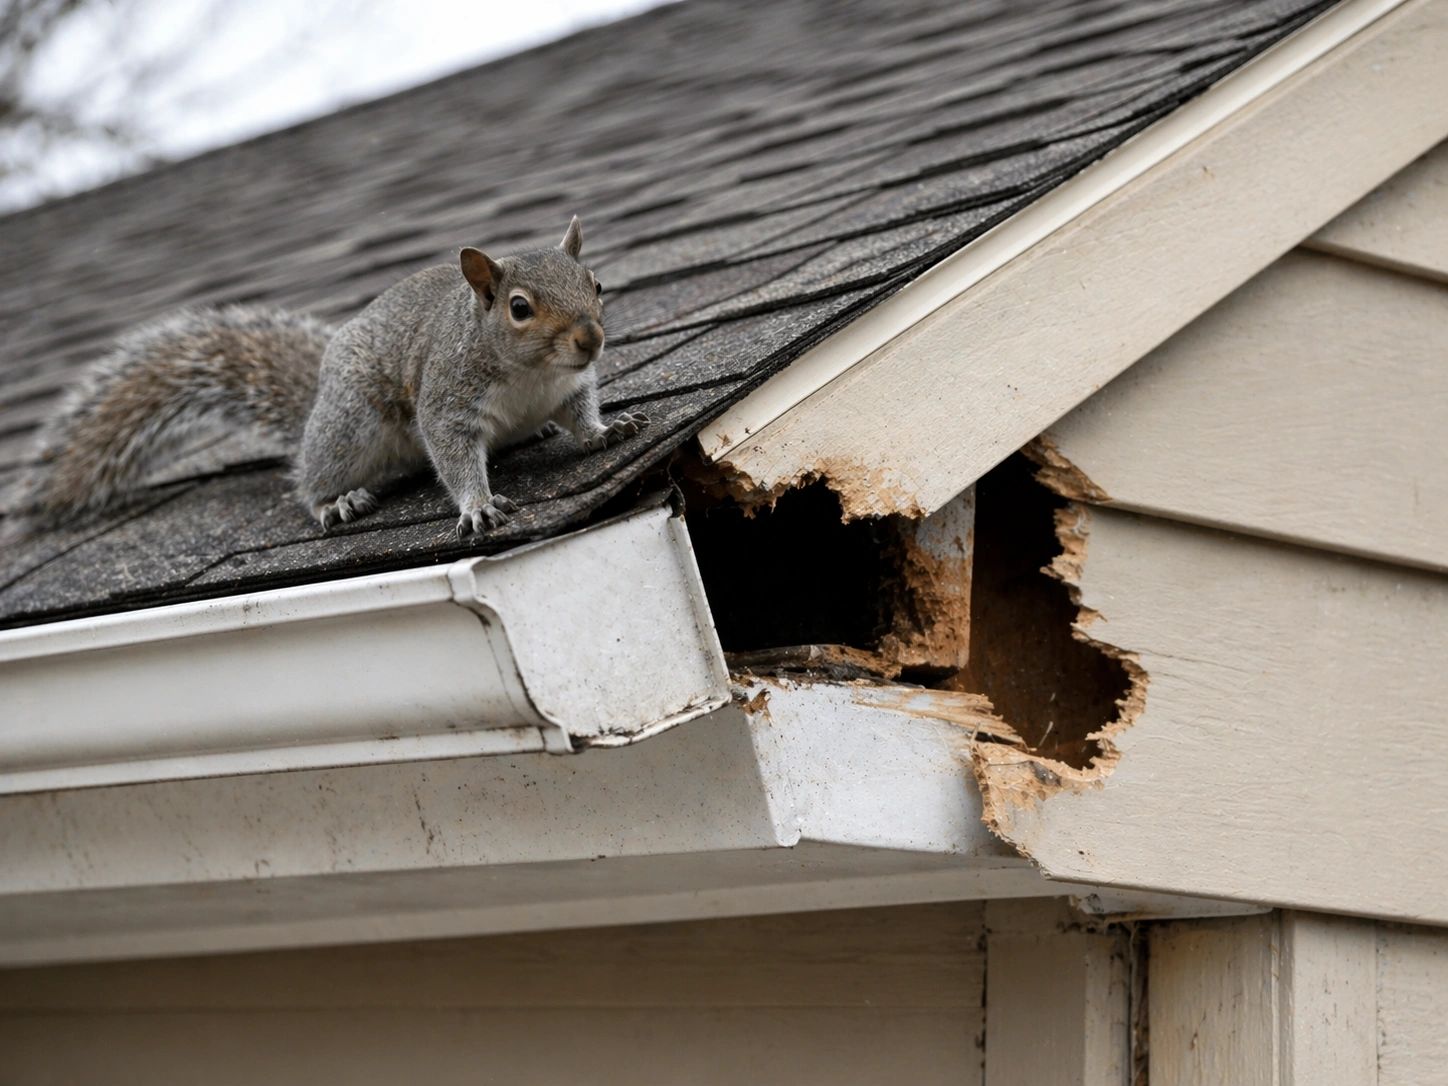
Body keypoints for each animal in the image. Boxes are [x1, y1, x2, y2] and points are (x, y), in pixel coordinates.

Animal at [12, 216, 648, 540]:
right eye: (519, 308)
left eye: (595, 284)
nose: (590, 339)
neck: (531, 376)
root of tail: (319, 395)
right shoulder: (447, 399)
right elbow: (452, 455)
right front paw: (477, 506)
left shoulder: (570, 386)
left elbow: (582, 414)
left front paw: (605, 432)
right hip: (351, 427)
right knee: (311, 476)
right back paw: (333, 503)